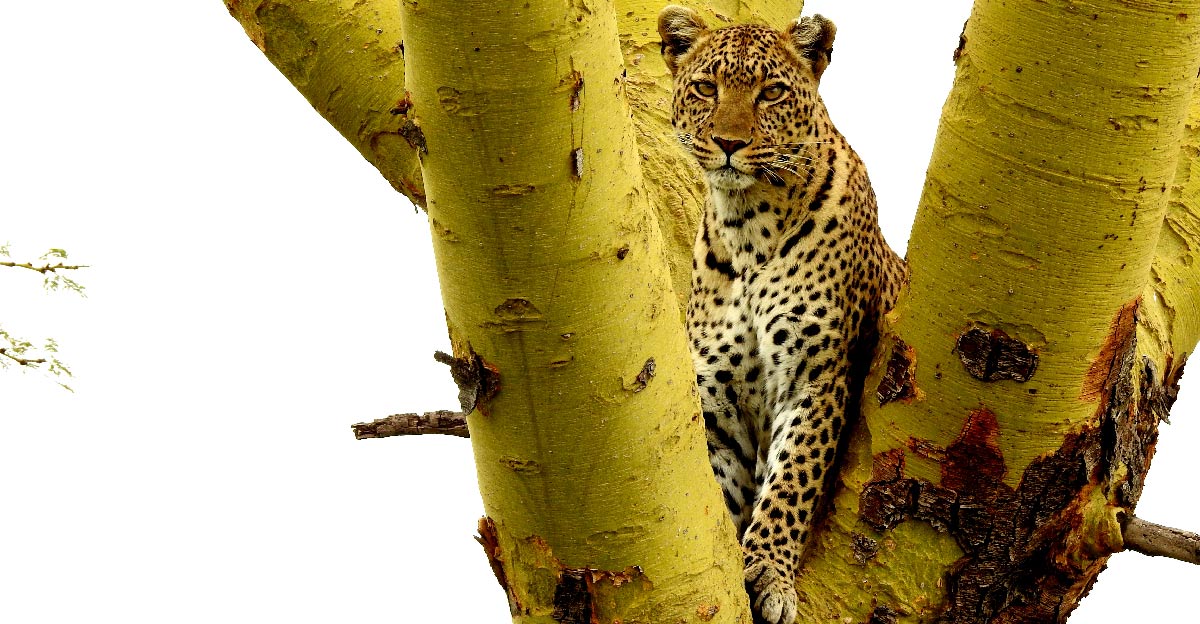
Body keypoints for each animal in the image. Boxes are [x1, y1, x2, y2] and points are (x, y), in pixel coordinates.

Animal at [658, 6, 907, 623]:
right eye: (706, 88)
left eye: (771, 92)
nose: (729, 142)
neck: (747, 226)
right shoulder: (718, 407)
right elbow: (726, 491)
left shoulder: (816, 378)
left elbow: (791, 482)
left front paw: (769, 573)